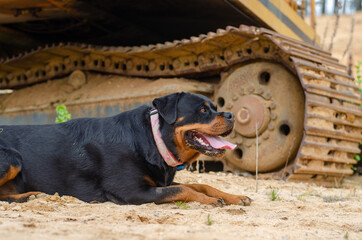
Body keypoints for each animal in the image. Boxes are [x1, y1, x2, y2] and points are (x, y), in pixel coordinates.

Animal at [0, 92, 252, 206]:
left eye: (215, 107)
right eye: (202, 110)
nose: (231, 114)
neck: (154, 140)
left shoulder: (158, 182)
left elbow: (200, 184)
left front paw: (233, 196)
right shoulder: (132, 192)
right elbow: (183, 190)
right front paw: (210, 200)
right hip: (12, 159)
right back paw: (29, 195)